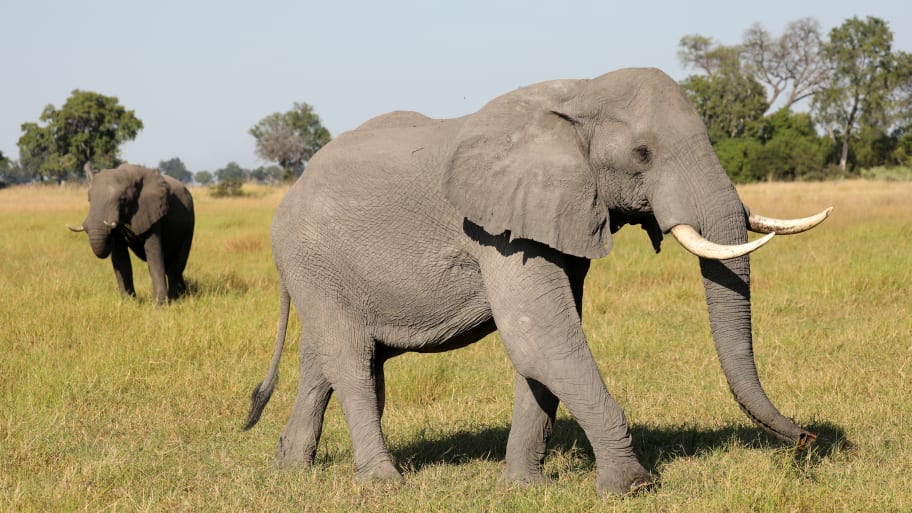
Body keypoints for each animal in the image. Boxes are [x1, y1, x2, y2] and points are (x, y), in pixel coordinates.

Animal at [69, 162, 195, 306]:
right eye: (89, 199)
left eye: (122, 199)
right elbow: (120, 258)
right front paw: (128, 303)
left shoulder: (152, 211)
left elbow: (155, 255)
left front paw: (159, 305)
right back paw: (183, 294)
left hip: (189, 224)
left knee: (176, 266)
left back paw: (176, 298)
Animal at [243, 68, 831, 495]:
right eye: (642, 155)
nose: (808, 440)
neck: (579, 93)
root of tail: (291, 191)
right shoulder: (497, 229)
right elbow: (541, 338)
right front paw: (630, 488)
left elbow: (545, 348)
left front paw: (523, 488)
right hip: (310, 259)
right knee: (351, 361)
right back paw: (385, 485)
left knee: (329, 360)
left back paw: (289, 470)